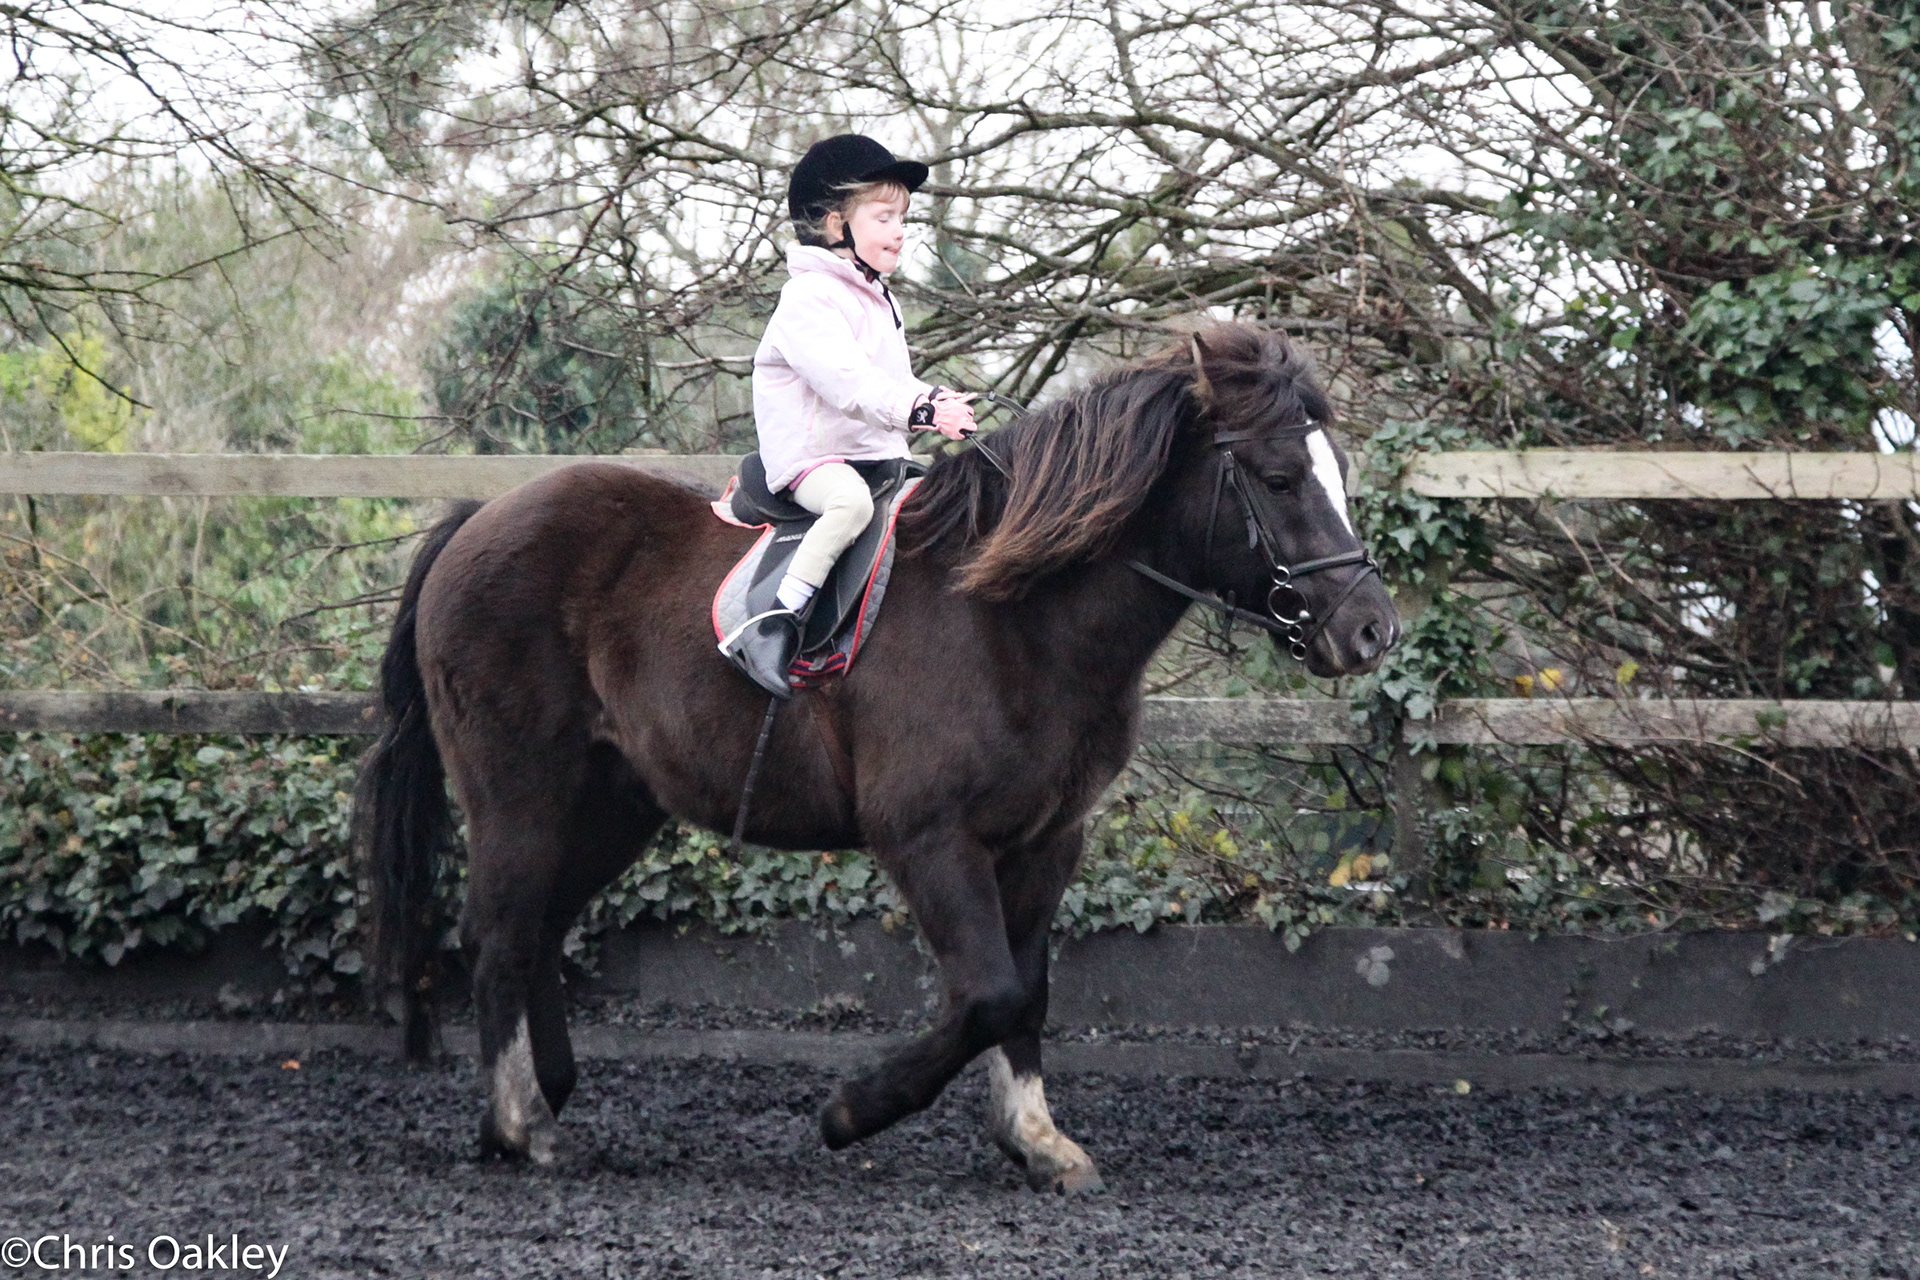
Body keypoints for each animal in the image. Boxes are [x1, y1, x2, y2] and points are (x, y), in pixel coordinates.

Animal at [360, 322, 1405, 1189]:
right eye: (1278, 478)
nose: (1370, 630)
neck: (1015, 618)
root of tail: (478, 520)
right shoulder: (929, 837)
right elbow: (988, 992)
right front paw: (855, 1111)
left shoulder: (1046, 842)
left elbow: (1027, 995)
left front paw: (1037, 1140)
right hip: (519, 795)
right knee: (496, 934)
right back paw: (521, 1123)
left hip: (613, 804)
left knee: (536, 928)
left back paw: (539, 1099)